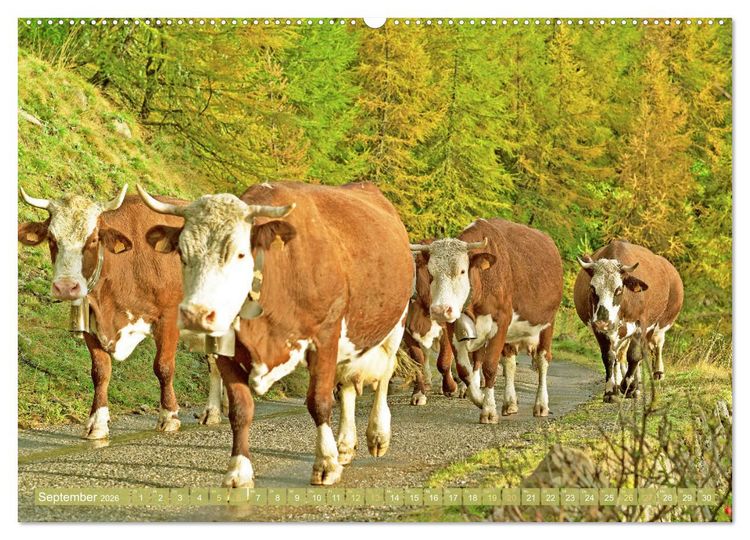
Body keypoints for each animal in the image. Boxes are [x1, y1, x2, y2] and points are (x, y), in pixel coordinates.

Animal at [18, 186, 224, 439]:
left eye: (93, 239)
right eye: (52, 239)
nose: (66, 287)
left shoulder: (168, 318)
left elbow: (163, 367)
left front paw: (169, 416)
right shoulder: (92, 323)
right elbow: (100, 371)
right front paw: (97, 423)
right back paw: (215, 411)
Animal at [137, 181, 414, 487]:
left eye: (240, 254)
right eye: (183, 255)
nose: (196, 313)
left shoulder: (325, 337)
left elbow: (319, 402)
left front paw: (325, 464)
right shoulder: (225, 350)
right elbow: (240, 410)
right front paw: (238, 471)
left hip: (395, 324)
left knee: (384, 376)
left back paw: (376, 435)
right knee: (348, 387)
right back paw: (344, 445)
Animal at [410, 218, 563, 423]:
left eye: (462, 271)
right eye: (431, 273)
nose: (440, 310)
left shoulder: (501, 323)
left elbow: (490, 367)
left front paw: (489, 410)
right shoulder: (453, 328)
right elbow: (464, 370)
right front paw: (479, 399)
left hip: (547, 323)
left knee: (542, 360)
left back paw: (541, 404)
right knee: (509, 363)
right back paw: (510, 403)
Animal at [573, 240, 684, 401]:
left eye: (619, 289)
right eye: (592, 288)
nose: (603, 321)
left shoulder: (642, 326)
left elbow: (634, 355)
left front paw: (629, 387)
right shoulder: (598, 329)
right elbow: (609, 357)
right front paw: (610, 391)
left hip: (659, 325)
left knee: (655, 346)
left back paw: (652, 376)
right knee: (619, 354)